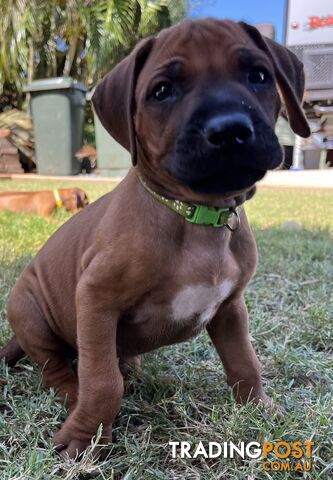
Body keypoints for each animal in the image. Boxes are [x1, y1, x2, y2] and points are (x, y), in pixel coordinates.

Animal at [0, 18, 308, 460]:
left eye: (259, 76)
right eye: (162, 91)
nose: (230, 129)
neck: (195, 216)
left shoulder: (231, 307)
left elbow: (245, 362)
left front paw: (260, 408)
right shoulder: (95, 297)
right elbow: (102, 380)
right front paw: (85, 436)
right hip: (29, 312)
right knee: (56, 367)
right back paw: (75, 393)